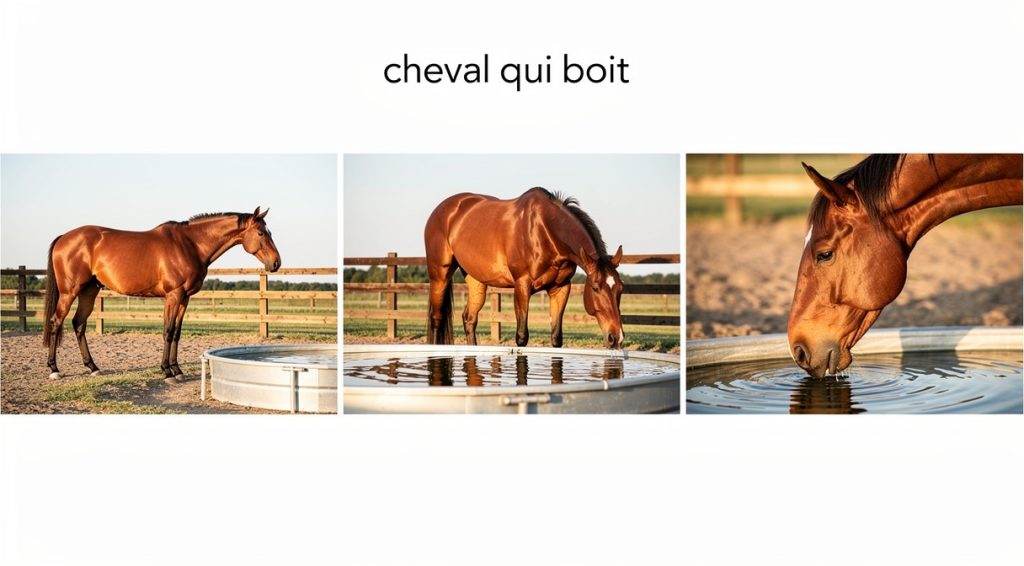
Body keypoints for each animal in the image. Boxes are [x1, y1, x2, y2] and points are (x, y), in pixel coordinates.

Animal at [43, 207, 282, 382]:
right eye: (261, 233)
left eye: (270, 232)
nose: (276, 263)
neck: (190, 245)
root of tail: (64, 237)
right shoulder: (173, 295)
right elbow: (167, 331)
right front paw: (167, 372)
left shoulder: (185, 298)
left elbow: (176, 332)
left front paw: (177, 370)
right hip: (69, 292)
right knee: (56, 321)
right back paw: (54, 369)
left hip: (89, 290)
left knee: (78, 323)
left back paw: (93, 367)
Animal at [424, 187, 626, 348]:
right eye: (595, 288)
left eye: (621, 289)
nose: (616, 337)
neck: (544, 230)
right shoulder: (522, 285)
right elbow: (521, 337)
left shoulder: (561, 288)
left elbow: (556, 338)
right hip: (440, 276)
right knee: (436, 319)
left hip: (476, 281)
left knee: (469, 319)